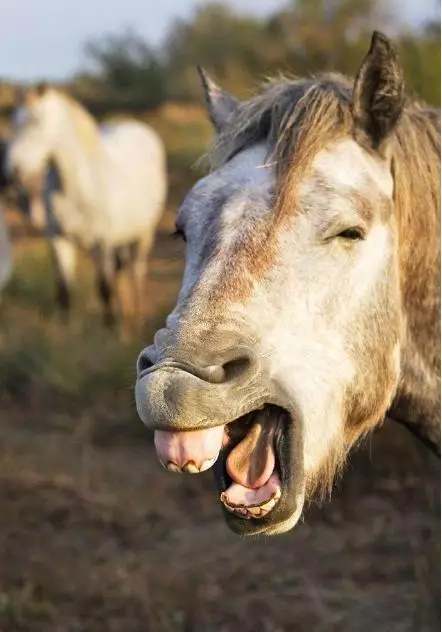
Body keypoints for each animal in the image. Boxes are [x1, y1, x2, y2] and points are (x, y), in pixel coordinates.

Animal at [7, 84, 168, 326]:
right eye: (14, 122)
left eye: (37, 121)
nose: (12, 171)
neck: (81, 186)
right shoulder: (59, 240)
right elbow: (64, 290)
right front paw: (65, 330)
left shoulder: (102, 243)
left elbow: (104, 288)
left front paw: (111, 329)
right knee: (120, 271)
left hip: (143, 235)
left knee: (136, 272)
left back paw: (137, 316)